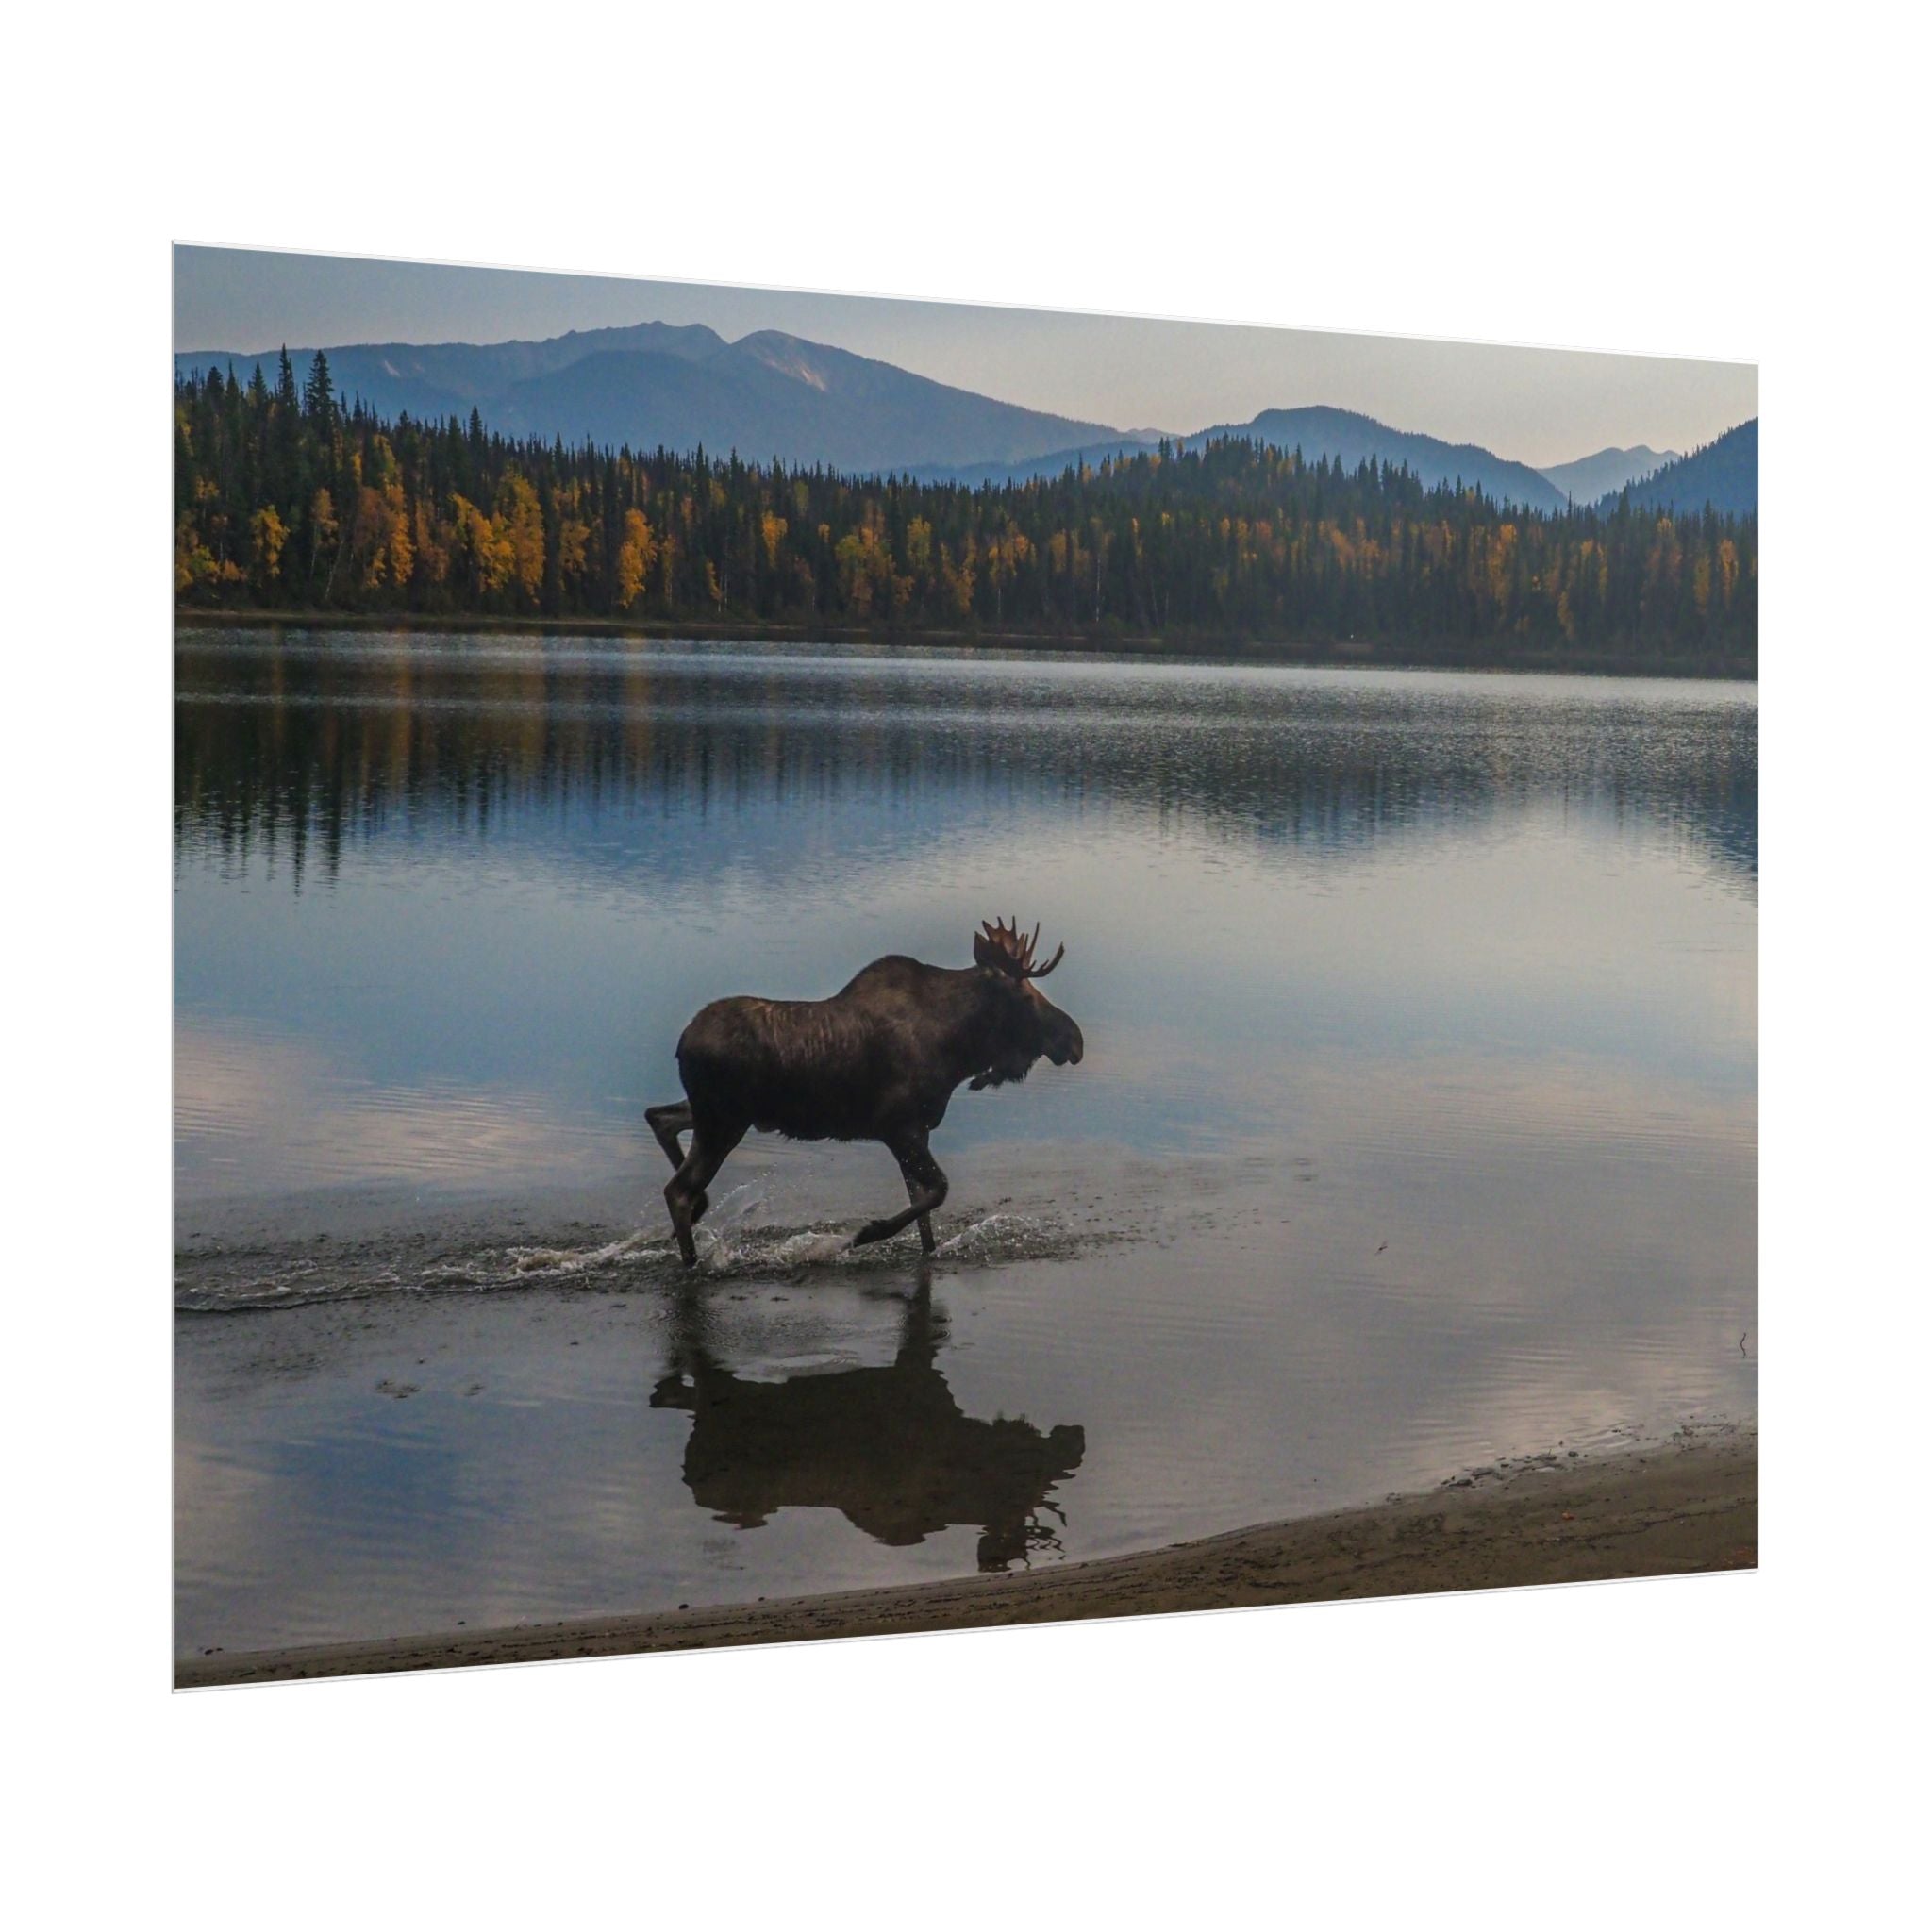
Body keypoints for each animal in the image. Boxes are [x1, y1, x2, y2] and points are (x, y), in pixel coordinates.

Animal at [646, 918, 1084, 1265]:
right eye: (1025, 996)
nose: (1075, 1040)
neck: (957, 1049)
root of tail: (682, 1044)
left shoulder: (917, 1132)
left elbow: (924, 1212)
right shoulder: (898, 1127)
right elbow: (937, 1191)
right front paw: (863, 1234)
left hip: (715, 1114)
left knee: (660, 1118)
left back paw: (700, 1211)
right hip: (723, 1122)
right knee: (677, 1189)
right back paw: (692, 1260)